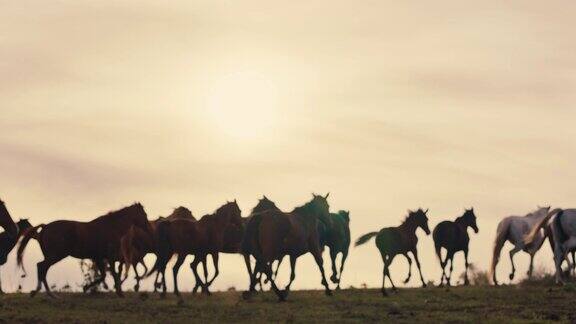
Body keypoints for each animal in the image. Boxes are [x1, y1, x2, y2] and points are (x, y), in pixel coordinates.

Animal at [16, 204, 151, 298]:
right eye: (144, 214)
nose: (149, 228)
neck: (111, 228)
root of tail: (45, 227)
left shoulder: (99, 258)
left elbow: (105, 275)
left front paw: (88, 288)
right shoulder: (109, 257)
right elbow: (113, 274)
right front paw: (118, 292)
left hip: (52, 256)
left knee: (42, 268)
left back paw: (43, 293)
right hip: (55, 256)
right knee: (41, 267)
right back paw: (47, 293)